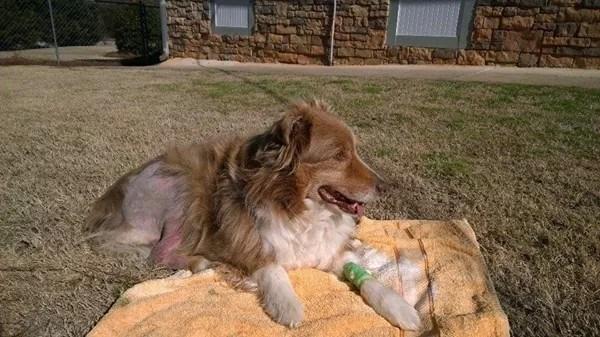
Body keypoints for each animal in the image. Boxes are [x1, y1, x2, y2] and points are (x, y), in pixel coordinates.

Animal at [85, 99, 422, 328]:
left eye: (355, 151)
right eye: (339, 156)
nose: (385, 186)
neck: (298, 205)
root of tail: (111, 198)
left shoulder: (328, 250)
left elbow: (370, 278)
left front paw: (400, 308)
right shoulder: (244, 240)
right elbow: (270, 267)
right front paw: (287, 305)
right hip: (181, 184)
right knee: (157, 251)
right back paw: (205, 263)